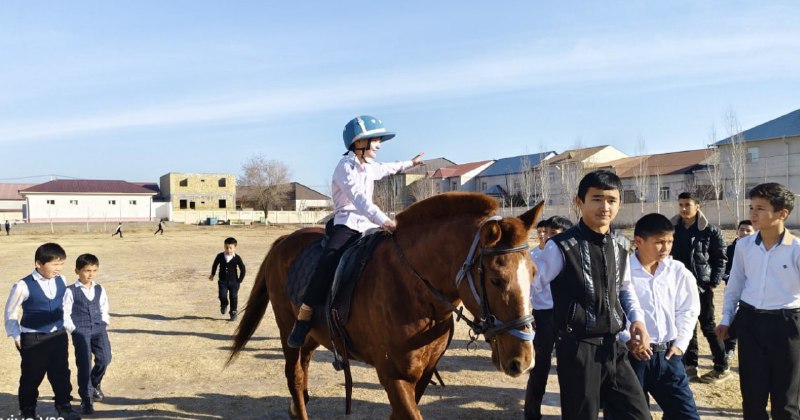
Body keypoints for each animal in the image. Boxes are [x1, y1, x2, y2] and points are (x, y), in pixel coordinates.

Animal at [230, 192, 544, 418]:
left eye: (534, 273)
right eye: (495, 279)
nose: (524, 360)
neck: (416, 292)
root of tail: (285, 239)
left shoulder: (423, 374)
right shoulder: (393, 375)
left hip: (312, 334)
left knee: (304, 368)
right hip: (287, 328)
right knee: (294, 377)